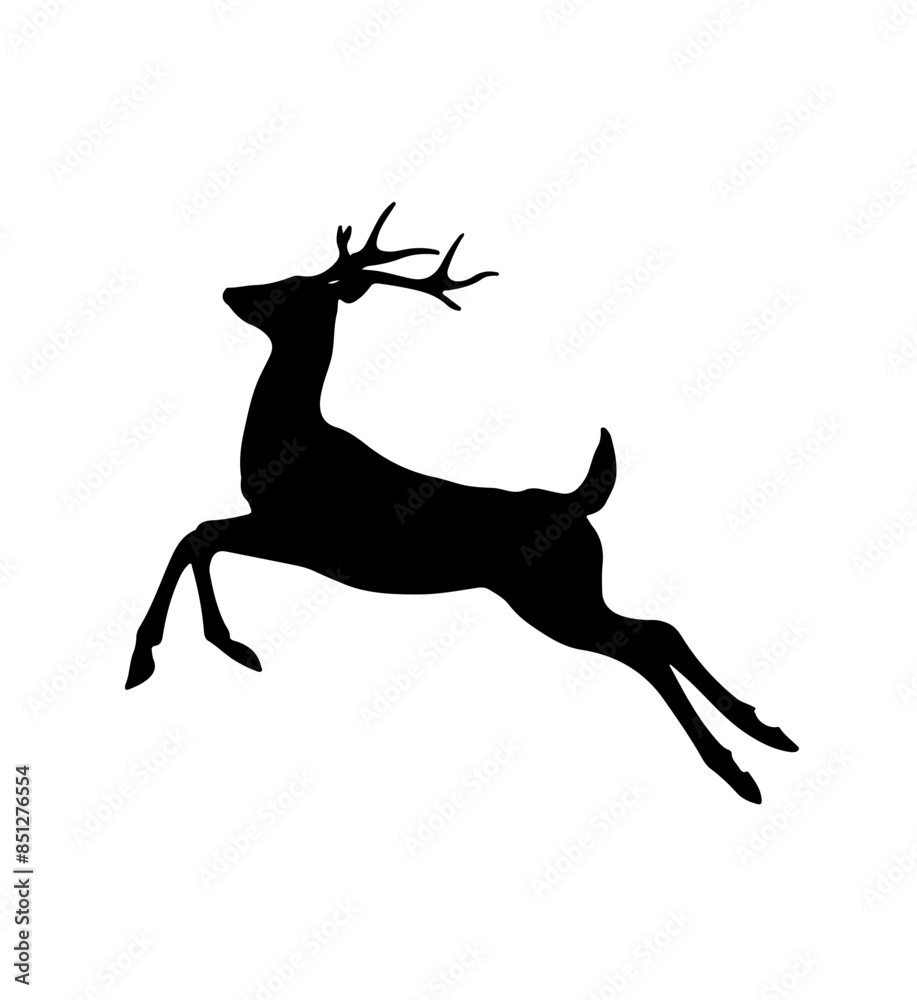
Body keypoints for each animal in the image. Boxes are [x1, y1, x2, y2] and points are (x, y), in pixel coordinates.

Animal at [126, 202, 797, 802]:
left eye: (293, 288)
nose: (232, 290)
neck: (287, 443)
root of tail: (579, 504)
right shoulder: (282, 530)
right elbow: (197, 536)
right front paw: (191, 649)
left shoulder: (303, 533)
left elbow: (198, 535)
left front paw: (174, 652)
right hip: (575, 588)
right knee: (660, 629)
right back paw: (765, 731)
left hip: (552, 593)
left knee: (643, 642)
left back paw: (735, 770)